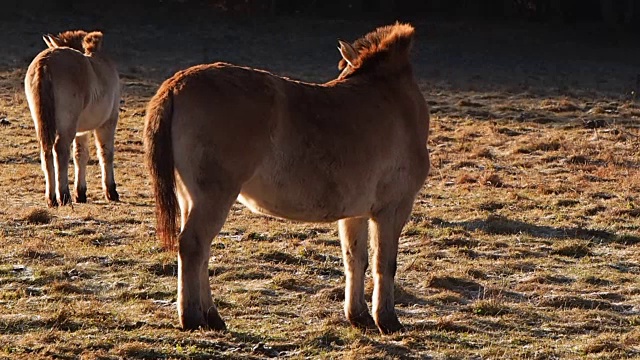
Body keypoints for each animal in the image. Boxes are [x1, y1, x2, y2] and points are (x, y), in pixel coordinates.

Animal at [25, 29, 121, 207]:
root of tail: (45, 63)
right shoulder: (108, 123)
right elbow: (105, 153)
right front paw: (111, 192)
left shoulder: (80, 131)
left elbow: (80, 155)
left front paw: (81, 193)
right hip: (67, 125)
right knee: (60, 150)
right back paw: (64, 196)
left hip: (43, 123)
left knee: (46, 151)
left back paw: (51, 199)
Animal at [142, 22, 428, 334]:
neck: (392, 101)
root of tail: (175, 85)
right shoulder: (393, 209)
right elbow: (384, 263)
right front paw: (387, 320)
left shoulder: (356, 213)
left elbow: (356, 260)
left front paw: (359, 316)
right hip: (213, 197)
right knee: (193, 246)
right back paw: (193, 317)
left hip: (190, 198)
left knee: (201, 251)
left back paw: (212, 317)